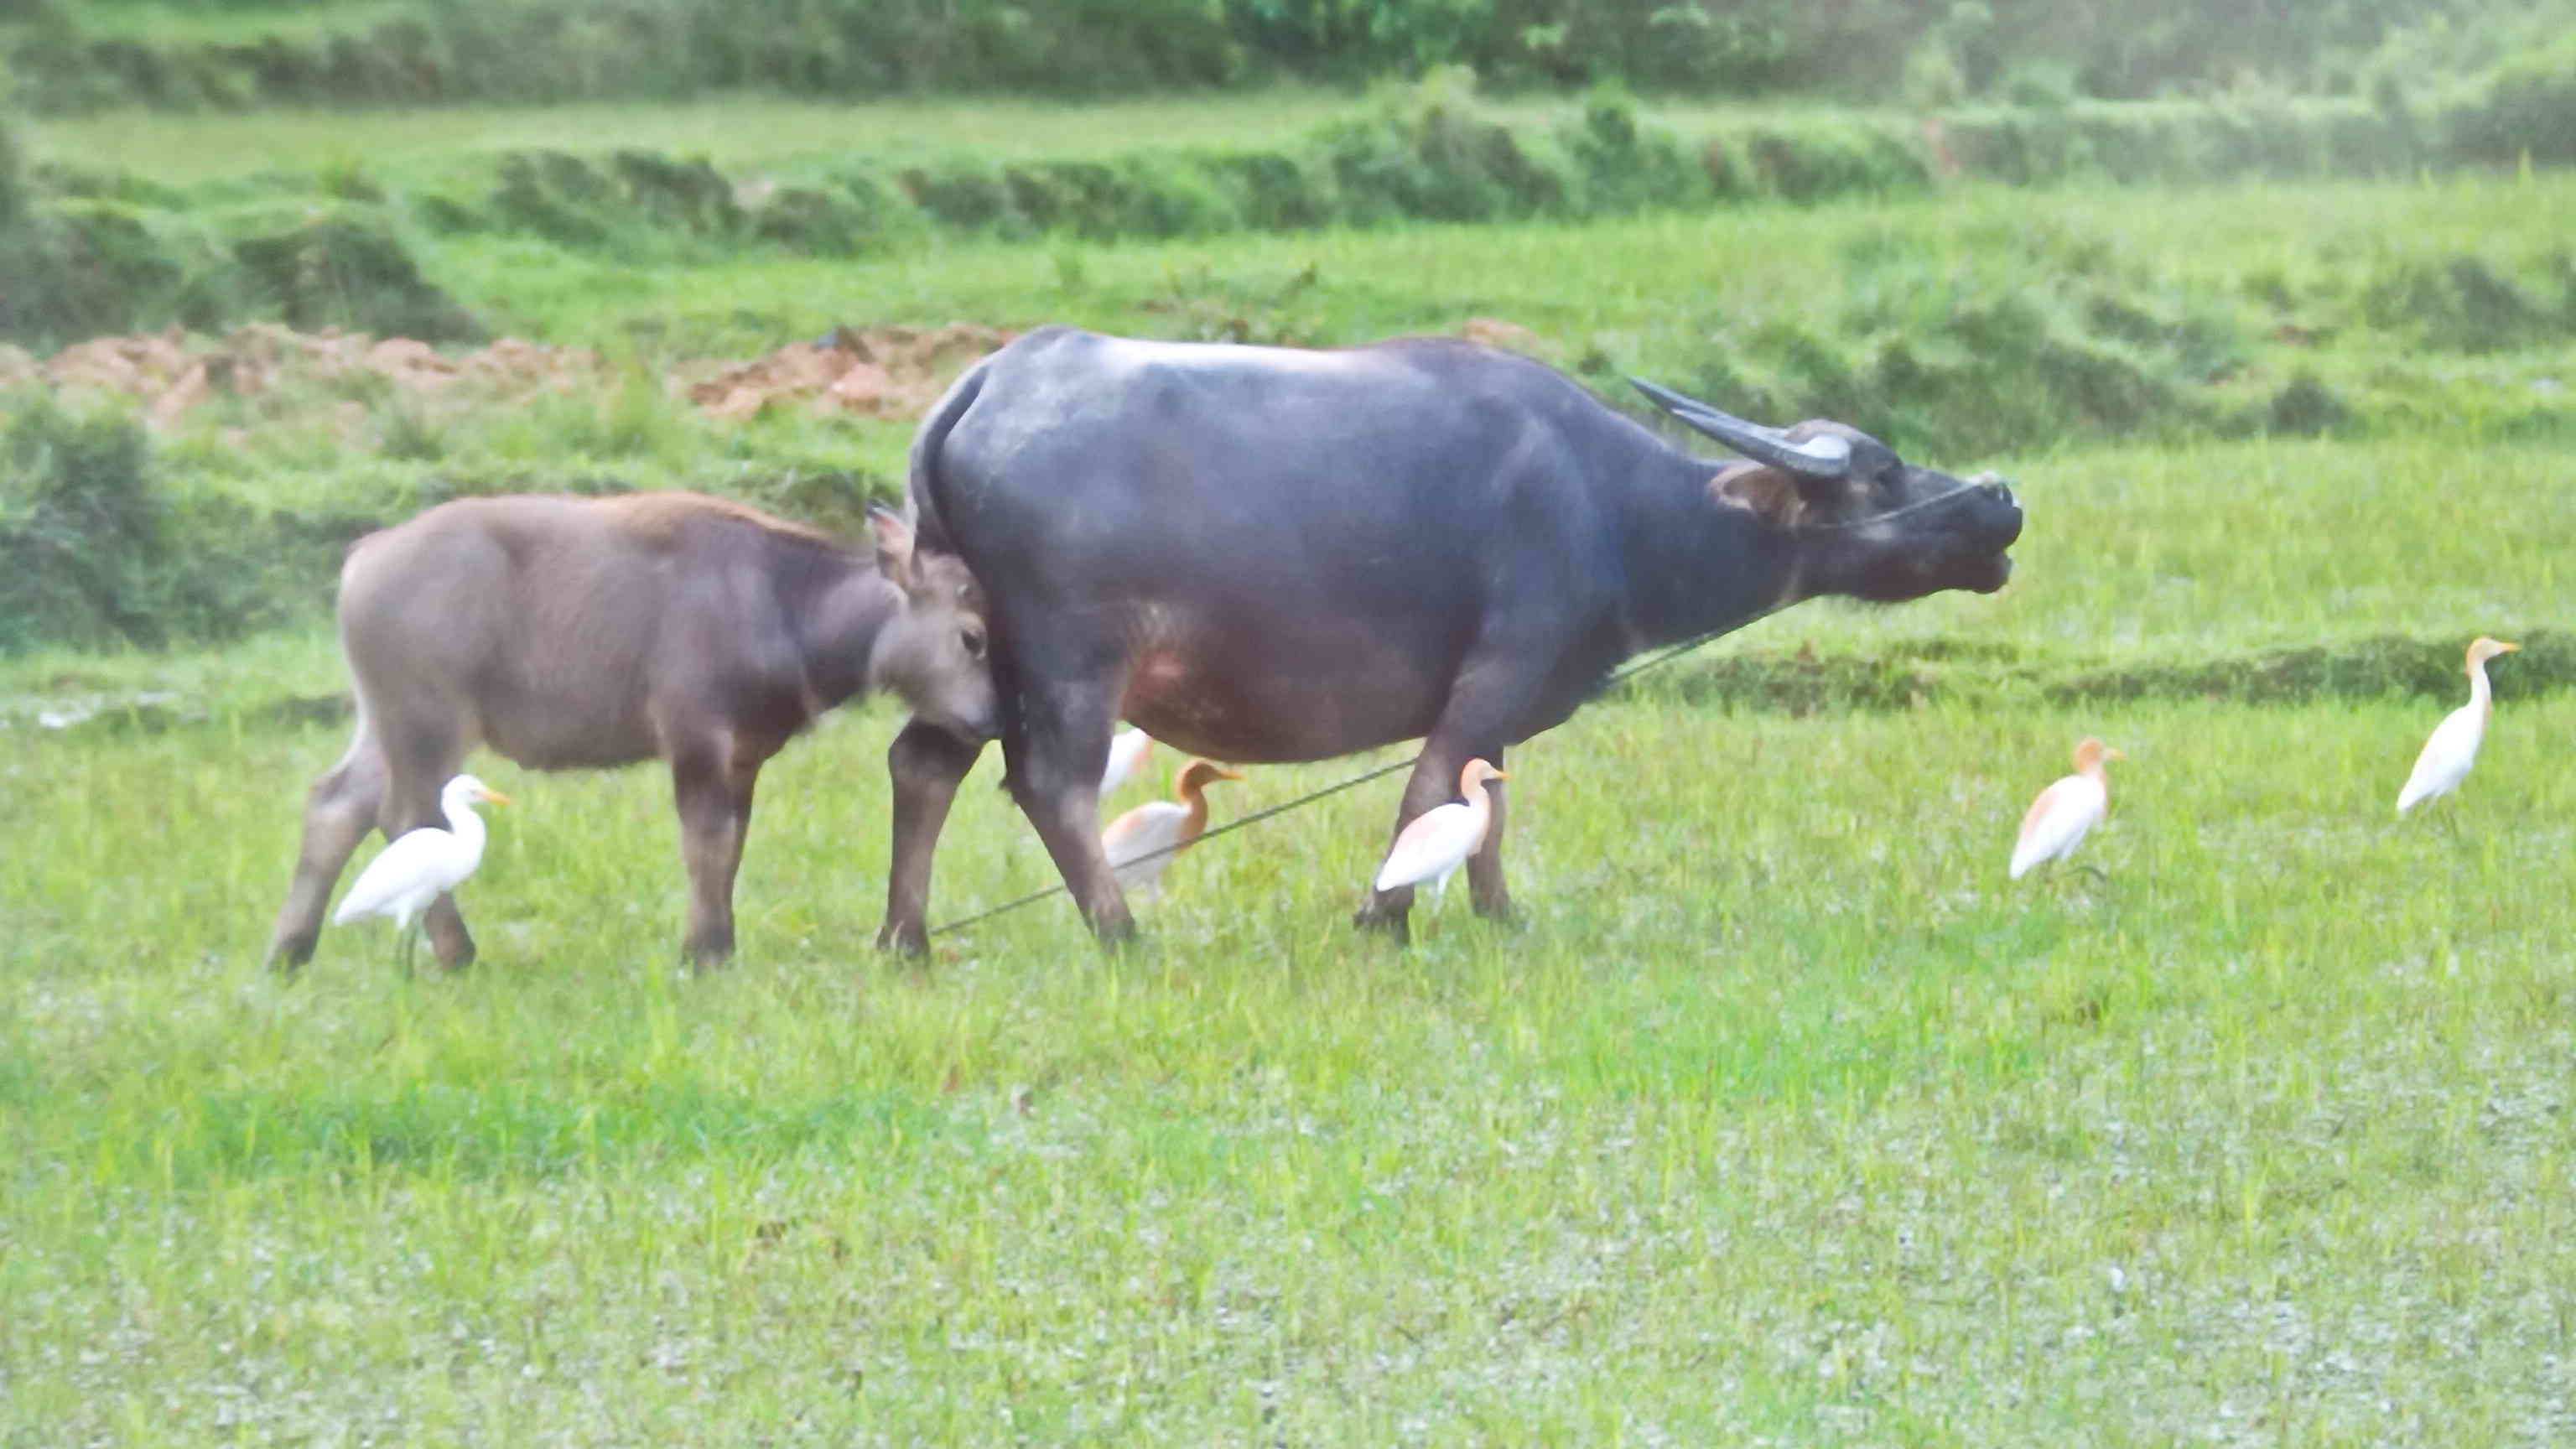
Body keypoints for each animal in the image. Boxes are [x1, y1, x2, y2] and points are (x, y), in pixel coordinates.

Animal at [272, 487, 994, 969]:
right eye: (973, 637)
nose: (991, 717)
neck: (781, 605)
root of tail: (365, 556)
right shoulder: (696, 739)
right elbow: (706, 842)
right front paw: (704, 951)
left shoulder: (743, 756)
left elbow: (731, 846)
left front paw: (719, 942)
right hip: (427, 723)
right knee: (405, 814)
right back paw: (456, 951)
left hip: (384, 722)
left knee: (337, 803)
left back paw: (289, 951)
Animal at [875, 325, 2019, 948]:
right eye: (1882, 475)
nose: (2000, 501)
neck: (1612, 509)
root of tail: (986, 386)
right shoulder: (1501, 671)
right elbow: (1432, 793)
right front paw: (1383, 918)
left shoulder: (1501, 703)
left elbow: (1487, 809)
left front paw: (1499, 916)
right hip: (1075, 663)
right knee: (1052, 786)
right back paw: (1122, 934)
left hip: (972, 656)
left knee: (922, 765)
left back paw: (908, 939)